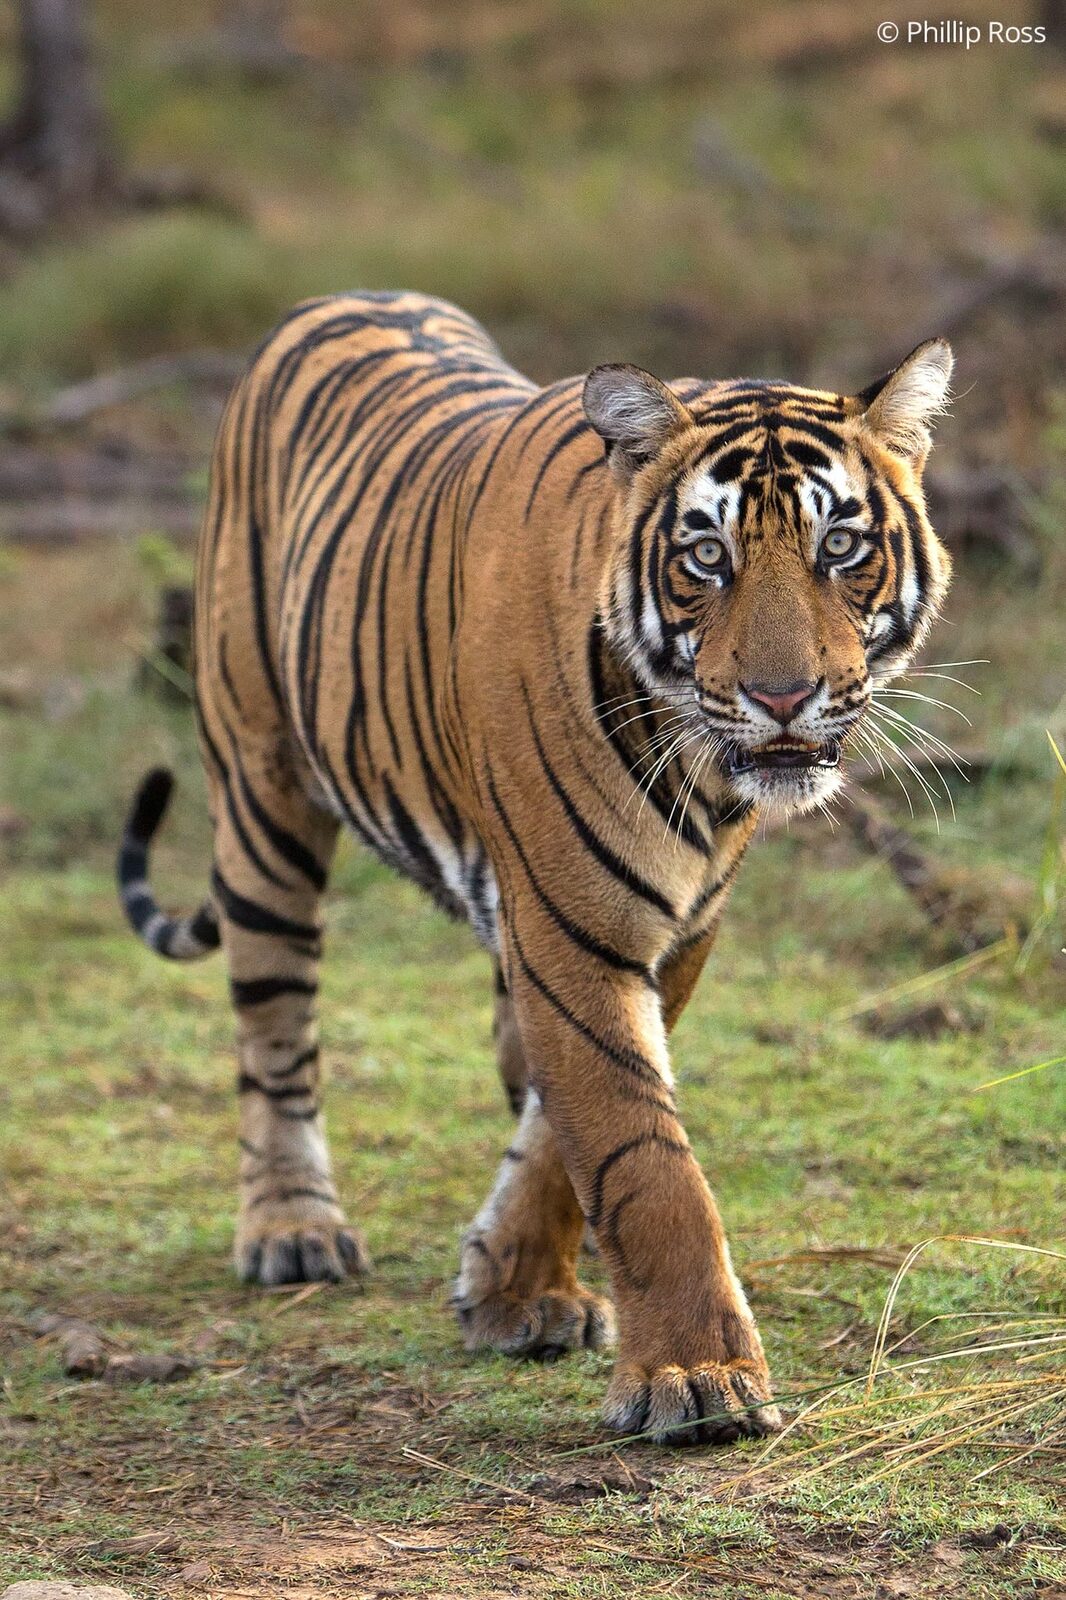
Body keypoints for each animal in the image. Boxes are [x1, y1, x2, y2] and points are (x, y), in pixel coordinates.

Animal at [117, 291, 952, 1445]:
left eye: (839, 544)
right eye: (706, 557)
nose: (784, 697)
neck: (699, 772)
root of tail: (338, 299)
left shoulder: (671, 926)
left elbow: (569, 1131)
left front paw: (515, 1289)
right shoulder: (572, 925)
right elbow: (639, 1154)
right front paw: (697, 1376)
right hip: (259, 792)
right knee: (275, 1031)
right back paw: (292, 1226)